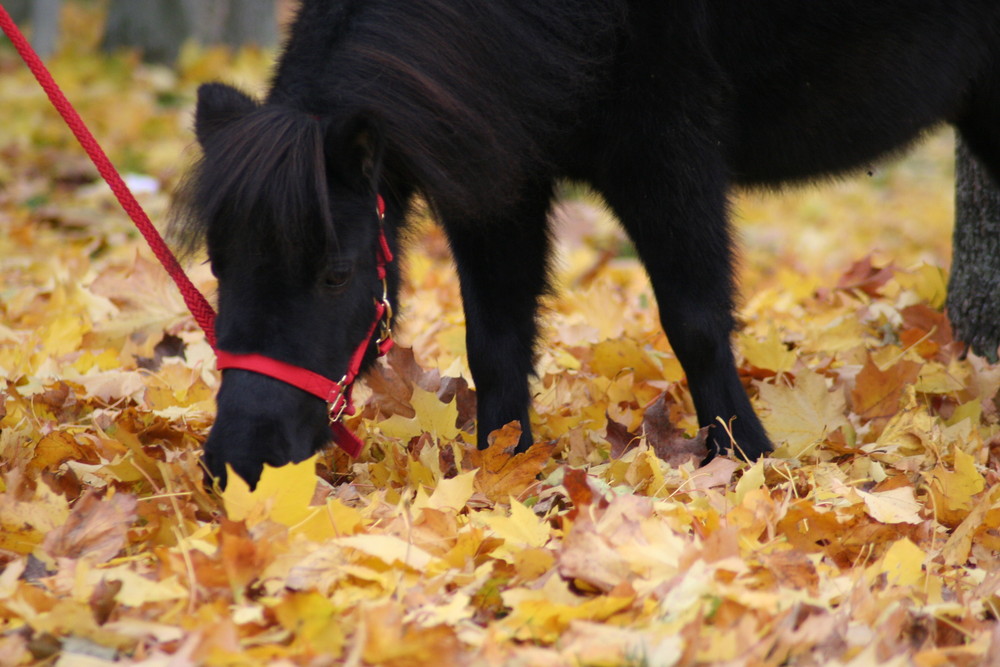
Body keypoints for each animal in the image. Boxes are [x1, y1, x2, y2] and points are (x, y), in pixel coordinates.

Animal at [172, 0, 1000, 486]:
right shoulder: (498, 176)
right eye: (218, 262)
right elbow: (496, 340)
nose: (236, 460)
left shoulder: (667, 155)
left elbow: (696, 322)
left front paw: (747, 458)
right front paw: (505, 466)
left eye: (337, 274)